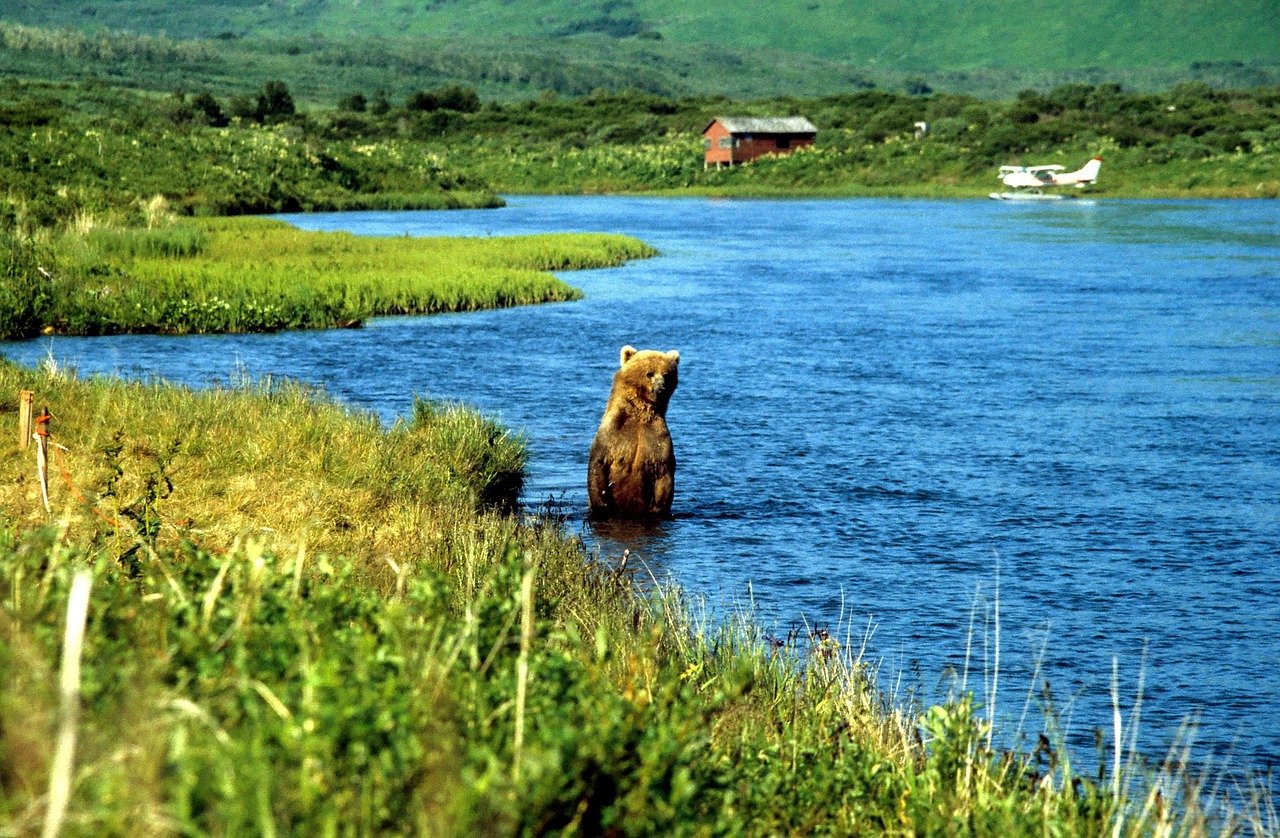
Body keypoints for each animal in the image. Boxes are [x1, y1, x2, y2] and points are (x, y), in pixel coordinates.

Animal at [587, 345, 680, 518]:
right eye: (649, 373)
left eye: (666, 374)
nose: (661, 389)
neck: (640, 412)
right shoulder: (612, 433)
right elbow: (598, 464)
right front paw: (602, 505)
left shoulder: (657, 438)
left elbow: (664, 471)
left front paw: (658, 508)